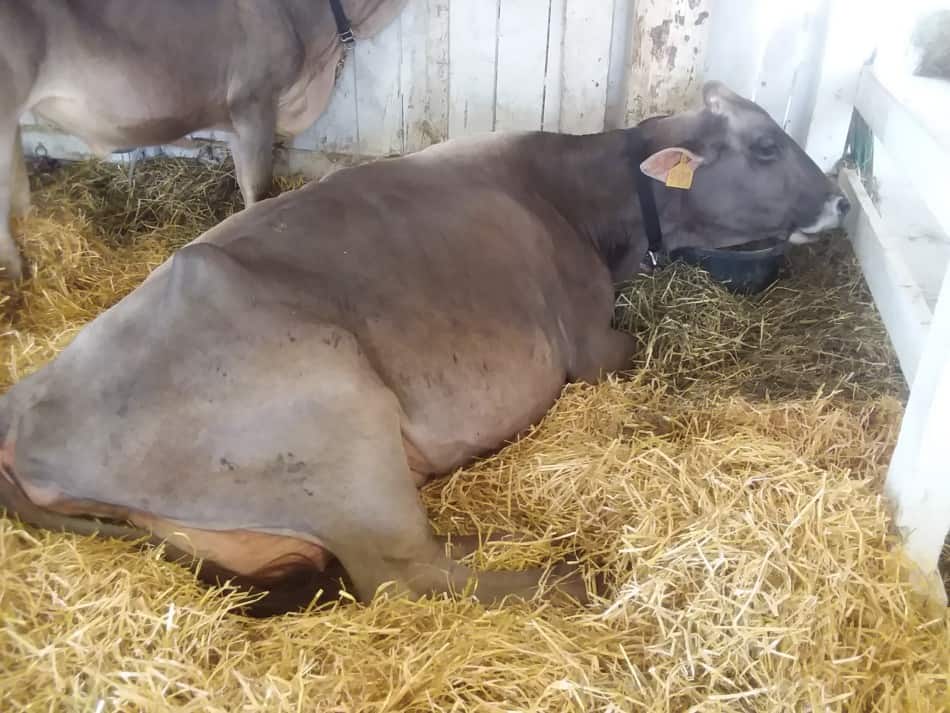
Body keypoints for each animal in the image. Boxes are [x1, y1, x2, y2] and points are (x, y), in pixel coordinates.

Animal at [0, 80, 848, 608]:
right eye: (766, 145)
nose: (841, 200)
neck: (581, 200)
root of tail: (27, 409)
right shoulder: (587, 342)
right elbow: (632, 344)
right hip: (339, 417)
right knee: (402, 572)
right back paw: (571, 577)